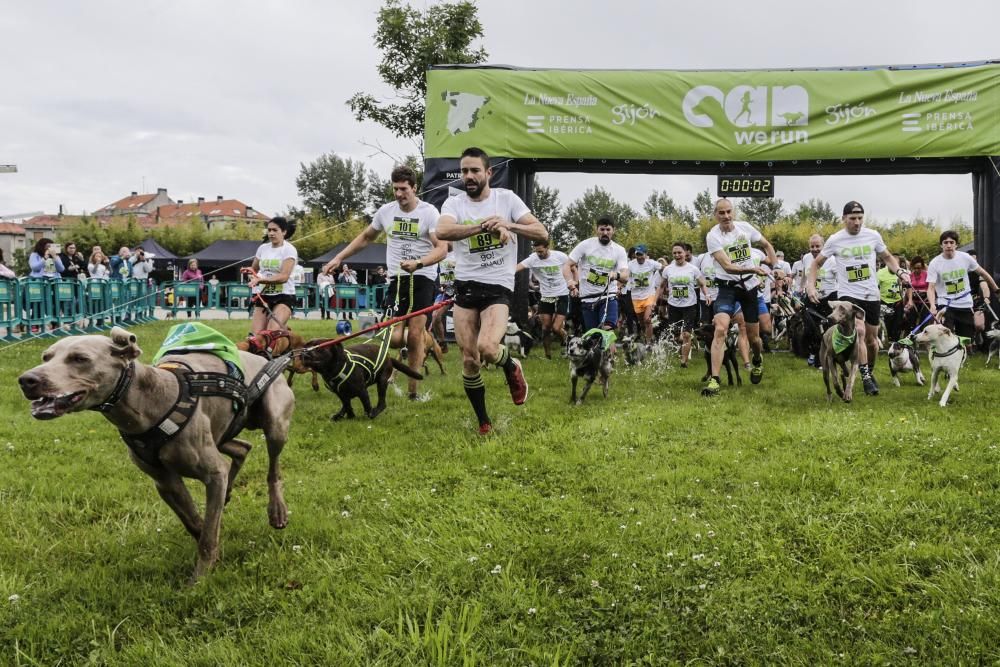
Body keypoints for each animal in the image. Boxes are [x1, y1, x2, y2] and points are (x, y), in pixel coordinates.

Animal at [17, 328, 292, 584]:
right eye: (46, 356)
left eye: (80, 358)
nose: (26, 379)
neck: (151, 400)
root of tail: (266, 357)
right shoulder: (165, 482)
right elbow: (197, 524)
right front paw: (216, 553)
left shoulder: (212, 473)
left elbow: (207, 534)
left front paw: (200, 578)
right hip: (222, 433)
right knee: (242, 448)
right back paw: (230, 491)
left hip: (274, 423)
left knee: (273, 468)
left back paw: (277, 510)